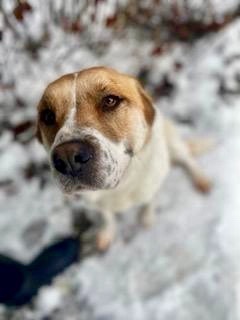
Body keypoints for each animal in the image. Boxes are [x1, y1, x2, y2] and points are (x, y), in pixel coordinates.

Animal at [36, 65, 212, 250]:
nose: (68, 157)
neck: (121, 186)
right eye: (47, 116)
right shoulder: (97, 203)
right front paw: (107, 233)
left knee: (188, 159)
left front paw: (147, 218)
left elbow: (149, 201)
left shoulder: (151, 185)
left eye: (110, 101)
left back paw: (201, 179)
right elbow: (107, 216)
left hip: (173, 142)